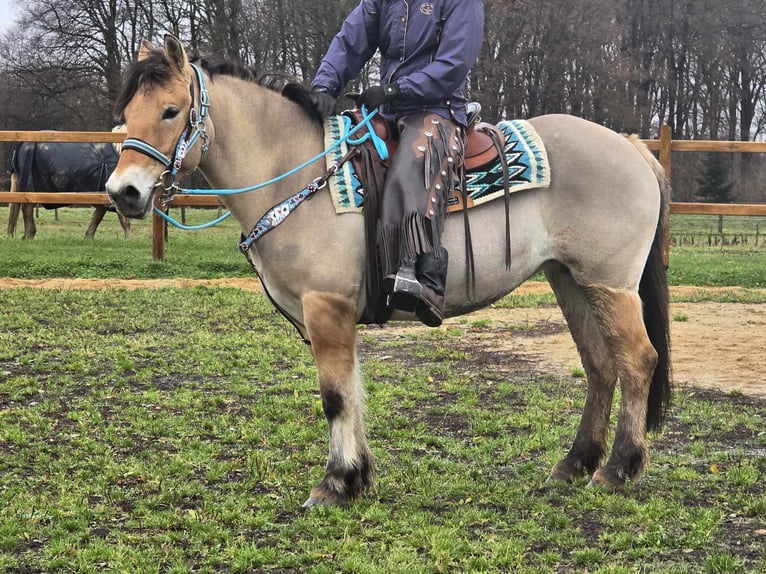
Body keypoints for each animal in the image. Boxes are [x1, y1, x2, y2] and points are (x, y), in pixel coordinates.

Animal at [106, 38, 672, 510]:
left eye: (171, 111)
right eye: (127, 114)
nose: (123, 192)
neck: (298, 170)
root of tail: (631, 146)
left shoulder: (326, 305)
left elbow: (335, 396)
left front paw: (335, 484)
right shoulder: (333, 317)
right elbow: (352, 391)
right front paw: (357, 477)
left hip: (609, 285)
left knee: (637, 361)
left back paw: (618, 470)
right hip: (569, 280)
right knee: (600, 365)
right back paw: (574, 464)